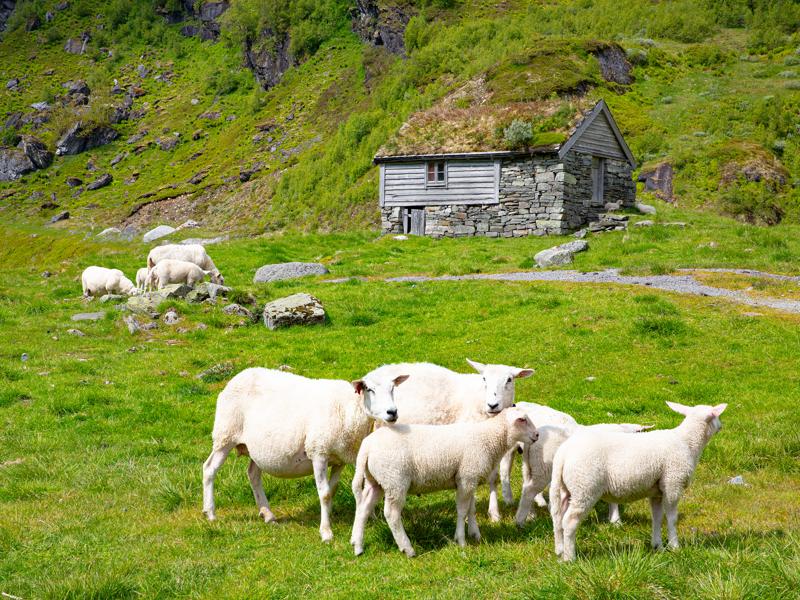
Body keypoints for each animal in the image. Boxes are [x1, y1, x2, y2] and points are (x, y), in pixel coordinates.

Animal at [202, 367, 408, 542]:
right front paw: (326, 531)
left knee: (253, 474)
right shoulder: (318, 452)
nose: (392, 412)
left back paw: (267, 514)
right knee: (209, 468)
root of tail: (238, 376)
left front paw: (329, 516)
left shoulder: (339, 459)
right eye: (369, 389)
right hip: (225, 434)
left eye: (393, 388)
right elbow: (324, 493)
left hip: (255, 448)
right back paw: (210, 513)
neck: (348, 407)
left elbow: (332, 490)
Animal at [350, 406, 538, 557]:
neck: (488, 438)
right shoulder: (466, 477)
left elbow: (471, 509)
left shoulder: (469, 479)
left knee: (363, 508)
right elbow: (462, 511)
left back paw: (358, 546)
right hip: (395, 480)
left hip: (377, 481)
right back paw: (408, 548)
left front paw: (475, 534)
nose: (536, 435)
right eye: (522, 420)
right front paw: (461, 540)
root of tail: (367, 446)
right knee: (391, 514)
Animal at [361, 359, 534, 521]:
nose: (492, 405)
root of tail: (375, 371)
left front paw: (494, 514)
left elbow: (493, 478)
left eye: (509, 380)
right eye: (484, 379)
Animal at [550, 401, 728, 562]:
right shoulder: (673, 483)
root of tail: (563, 453)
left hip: (567, 489)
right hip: (585, 487)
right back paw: (570, 558)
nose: (721, 426)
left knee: (558, 519)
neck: (687, 442)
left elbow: (657, 518)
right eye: (716, 415)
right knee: (570, 521)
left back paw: (560, 552)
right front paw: (675, 546)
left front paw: (658, 546)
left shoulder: (657, 491)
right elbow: (672, 518)